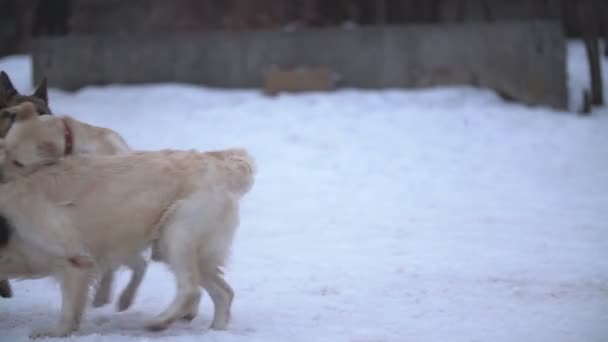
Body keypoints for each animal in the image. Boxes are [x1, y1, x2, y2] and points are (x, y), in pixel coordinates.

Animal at [0, 142, 256, 336]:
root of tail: (218, 164)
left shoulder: (75, 260)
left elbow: (68, 310)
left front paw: (54, 332)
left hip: (177, 235)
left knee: (191, 290)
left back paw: (158, 322)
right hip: (185, 248)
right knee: (224, 293)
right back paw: (215, 330)